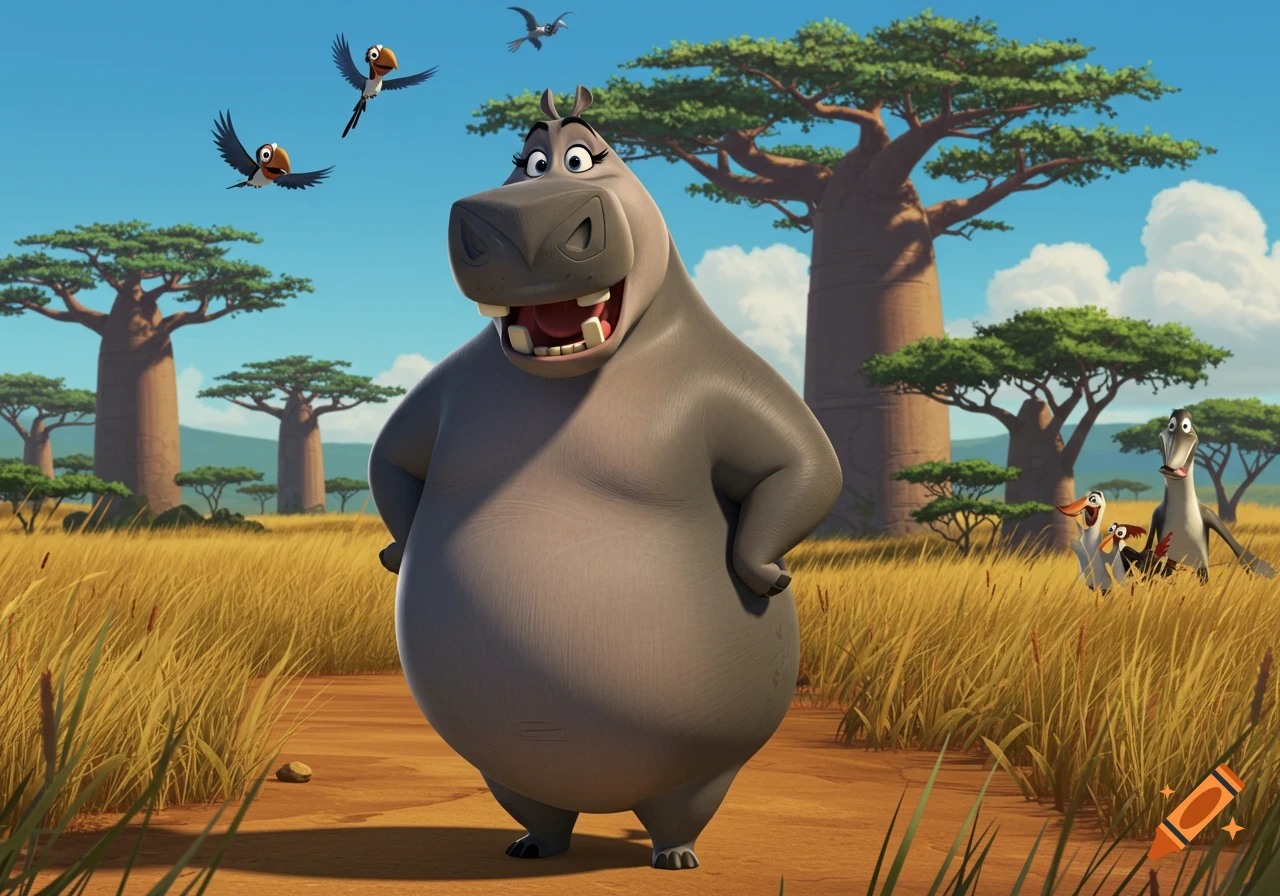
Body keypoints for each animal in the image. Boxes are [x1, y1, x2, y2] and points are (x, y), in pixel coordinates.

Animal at [368, 84, 842, 871]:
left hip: (701, 774)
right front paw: (397, 554)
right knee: (540, 806)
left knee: (680, 811)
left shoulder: (728, 378)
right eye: (525, 162)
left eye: (584, 158)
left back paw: (675, 856)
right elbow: (390, 458)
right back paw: (534, 845)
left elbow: (805, 460)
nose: (522, 221)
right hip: (510, 768)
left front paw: (762, 574)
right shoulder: (445, 390)